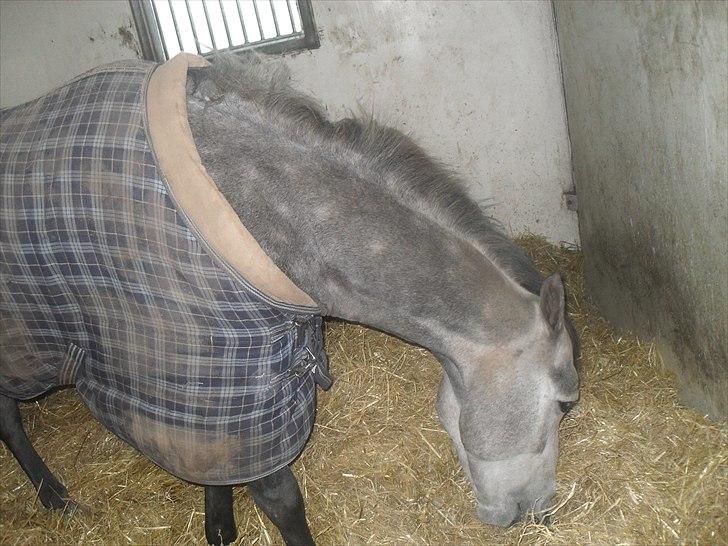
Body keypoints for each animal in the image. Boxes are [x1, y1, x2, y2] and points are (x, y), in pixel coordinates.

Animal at [0, 53, 579, 545]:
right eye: (565, 404)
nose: (542, 512)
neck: (259, 211)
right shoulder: (221, 376)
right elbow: (278, 497)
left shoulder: (228, 388)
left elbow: (217, 468)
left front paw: (219, 526)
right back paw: (53, 495)